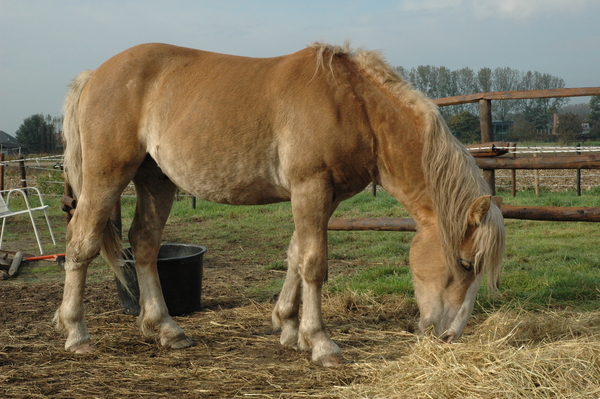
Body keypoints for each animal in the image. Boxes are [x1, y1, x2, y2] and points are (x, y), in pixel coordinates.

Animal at [57, 42, 506, 368]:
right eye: (464, 264)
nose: (448, 337)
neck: (352, 103)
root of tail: (95, 74)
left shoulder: (321, 197)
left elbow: (294, 255)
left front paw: (289, 328)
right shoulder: (310, 188)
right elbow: (314, 263)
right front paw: (321, 344)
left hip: (155, 180)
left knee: (145, 245)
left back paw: (167, 329)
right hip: (107, 176)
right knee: (82, 243)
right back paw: (76, 333)